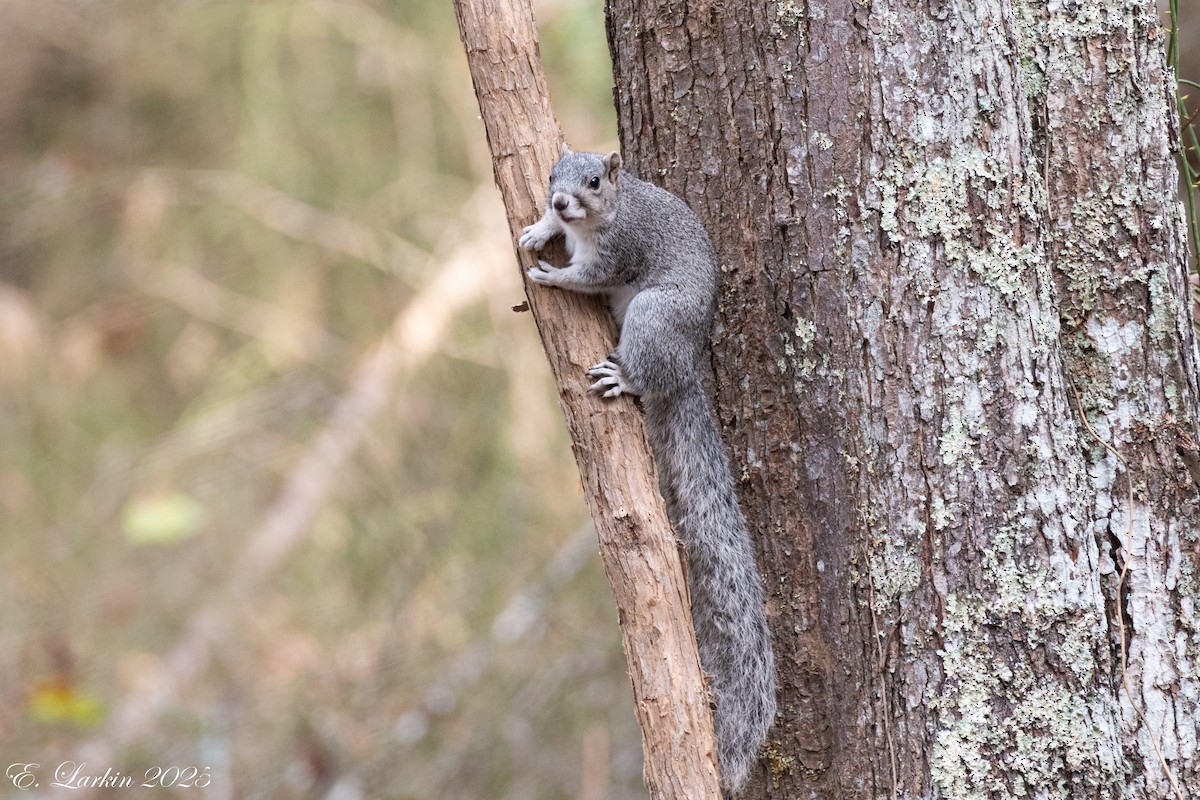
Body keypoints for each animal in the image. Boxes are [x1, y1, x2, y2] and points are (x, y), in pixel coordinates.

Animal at [519, 145, 777, 795]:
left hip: (654, 318)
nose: (561, 201)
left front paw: (553, 274)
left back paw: (627, 378)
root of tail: (685, 367)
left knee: (646, 370)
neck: (601, 218)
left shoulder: (620, 252)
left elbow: (589, 277)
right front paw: (540, 227)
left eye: (593, 181)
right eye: (553, 176)